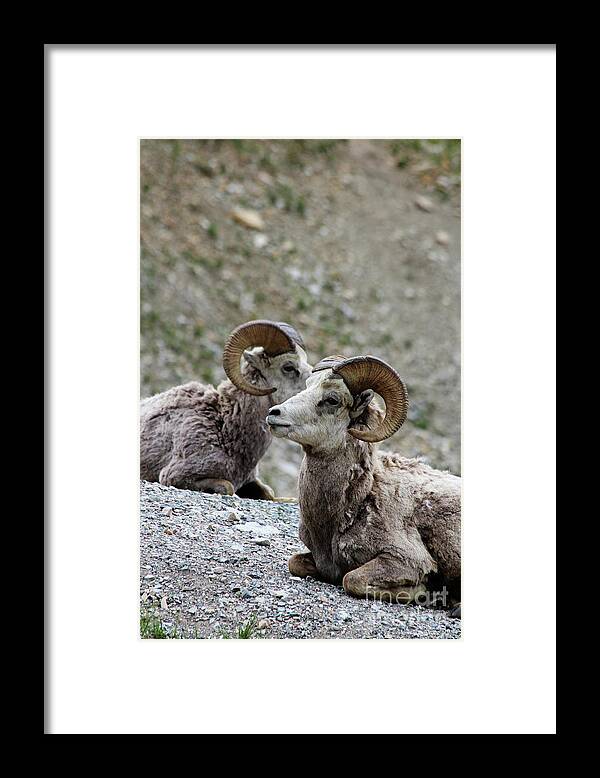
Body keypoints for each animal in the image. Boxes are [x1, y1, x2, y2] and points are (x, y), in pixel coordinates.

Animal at [266, 354, 460, 616]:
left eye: (332, 400)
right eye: (307, 386)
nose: (273, 413)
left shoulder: (404, 559)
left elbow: (351, 579)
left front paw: (424, 592)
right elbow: (294, 562)